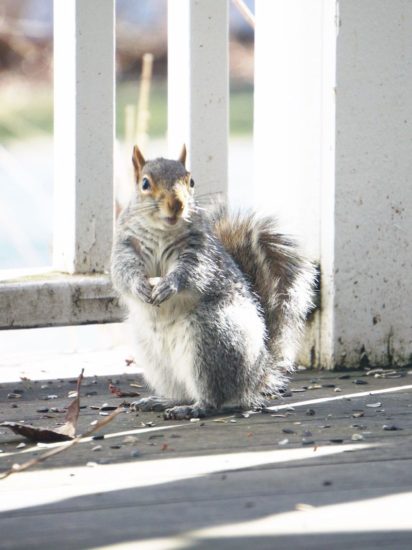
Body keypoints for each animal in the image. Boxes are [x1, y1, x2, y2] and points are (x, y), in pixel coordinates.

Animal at [110, 147, 316, 422]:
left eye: (191, 181)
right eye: (145, 184)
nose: (177, 205)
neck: (163, 230)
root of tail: (254, 378)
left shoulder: (199, 253)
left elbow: (190, 273)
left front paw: (168, 286)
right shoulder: (125, 248)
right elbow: (123, 273)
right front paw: (140, 287)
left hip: (211, 342)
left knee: (214, 398)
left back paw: (193, 408)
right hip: (156, 358)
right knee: (183, 391)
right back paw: (162, 401)